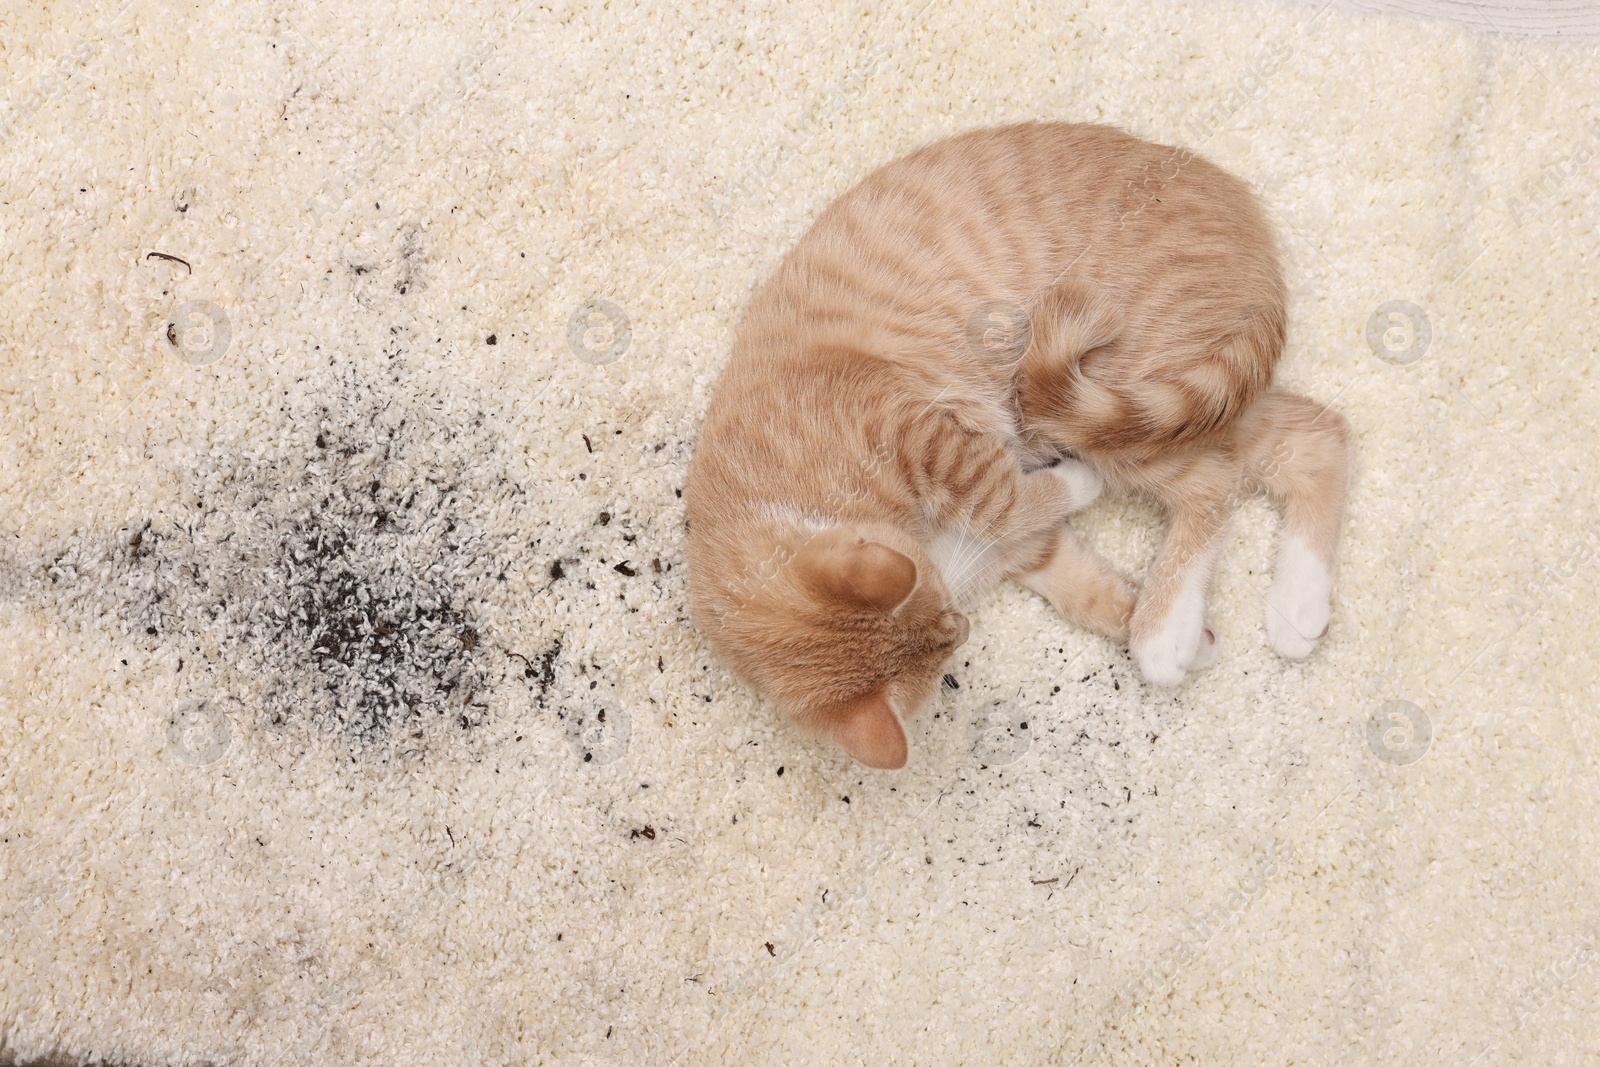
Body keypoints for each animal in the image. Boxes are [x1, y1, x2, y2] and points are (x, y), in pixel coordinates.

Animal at [684, 123, 1350, 767]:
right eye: (946, 639)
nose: (963, 626)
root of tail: (1242, 204)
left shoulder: (925, 434)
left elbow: (999, 497)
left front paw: (1084, 499)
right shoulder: (1022, 548)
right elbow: (1077, 582)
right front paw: (1177, 630)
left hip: (1102, 405)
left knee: (1214, 481)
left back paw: (1165, 630)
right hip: (1180, 404)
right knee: (1316, 435)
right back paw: (1295, 607)